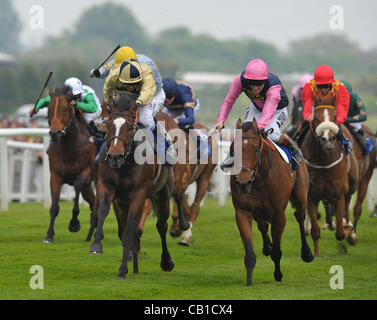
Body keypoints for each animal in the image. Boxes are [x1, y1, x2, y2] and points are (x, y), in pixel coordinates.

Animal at [44, 87, 97, 242]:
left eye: (66, 109)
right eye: (49, 109)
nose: (55, 133)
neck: (70, 145)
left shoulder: (86, 172)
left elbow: (77, 188)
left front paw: (74, 223)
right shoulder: (55, 175)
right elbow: (54, 206)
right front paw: (49, 235)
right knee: (93, 202)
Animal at [86, 94, 184, 278]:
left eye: (130, 127)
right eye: (108, 125)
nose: (114, 157)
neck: (127, 162)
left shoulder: (139, 194)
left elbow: (129, 232)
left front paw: (122, 270)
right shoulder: (107, 187)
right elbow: (103, 212)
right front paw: (96, 245)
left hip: (162, 194)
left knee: (161, 226)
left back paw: (166, 261)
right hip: (124, 202)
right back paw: (136, 264)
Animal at [231, 119, 312, 286]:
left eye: (255, 148)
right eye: (234, 150)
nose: (242, 183)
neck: (260, 178)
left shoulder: (279, 215)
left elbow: (277, 251)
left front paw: (278, 274)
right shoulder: (242, 211)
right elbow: (249, 251)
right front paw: (249, 280)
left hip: (301, 194)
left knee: (300, 216)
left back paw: (307, 252)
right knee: (262, 225)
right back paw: (266, 246)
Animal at [298, 105, 356, 255]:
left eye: (334, 117)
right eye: (316, 118)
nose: (328, 140)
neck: (324, 161)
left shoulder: (339, 193)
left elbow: (340, 233)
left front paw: (347, 231)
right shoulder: (311, 194)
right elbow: (315, 230)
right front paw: (316, 254)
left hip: (352, 182)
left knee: (348, 200)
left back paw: (350, 229)